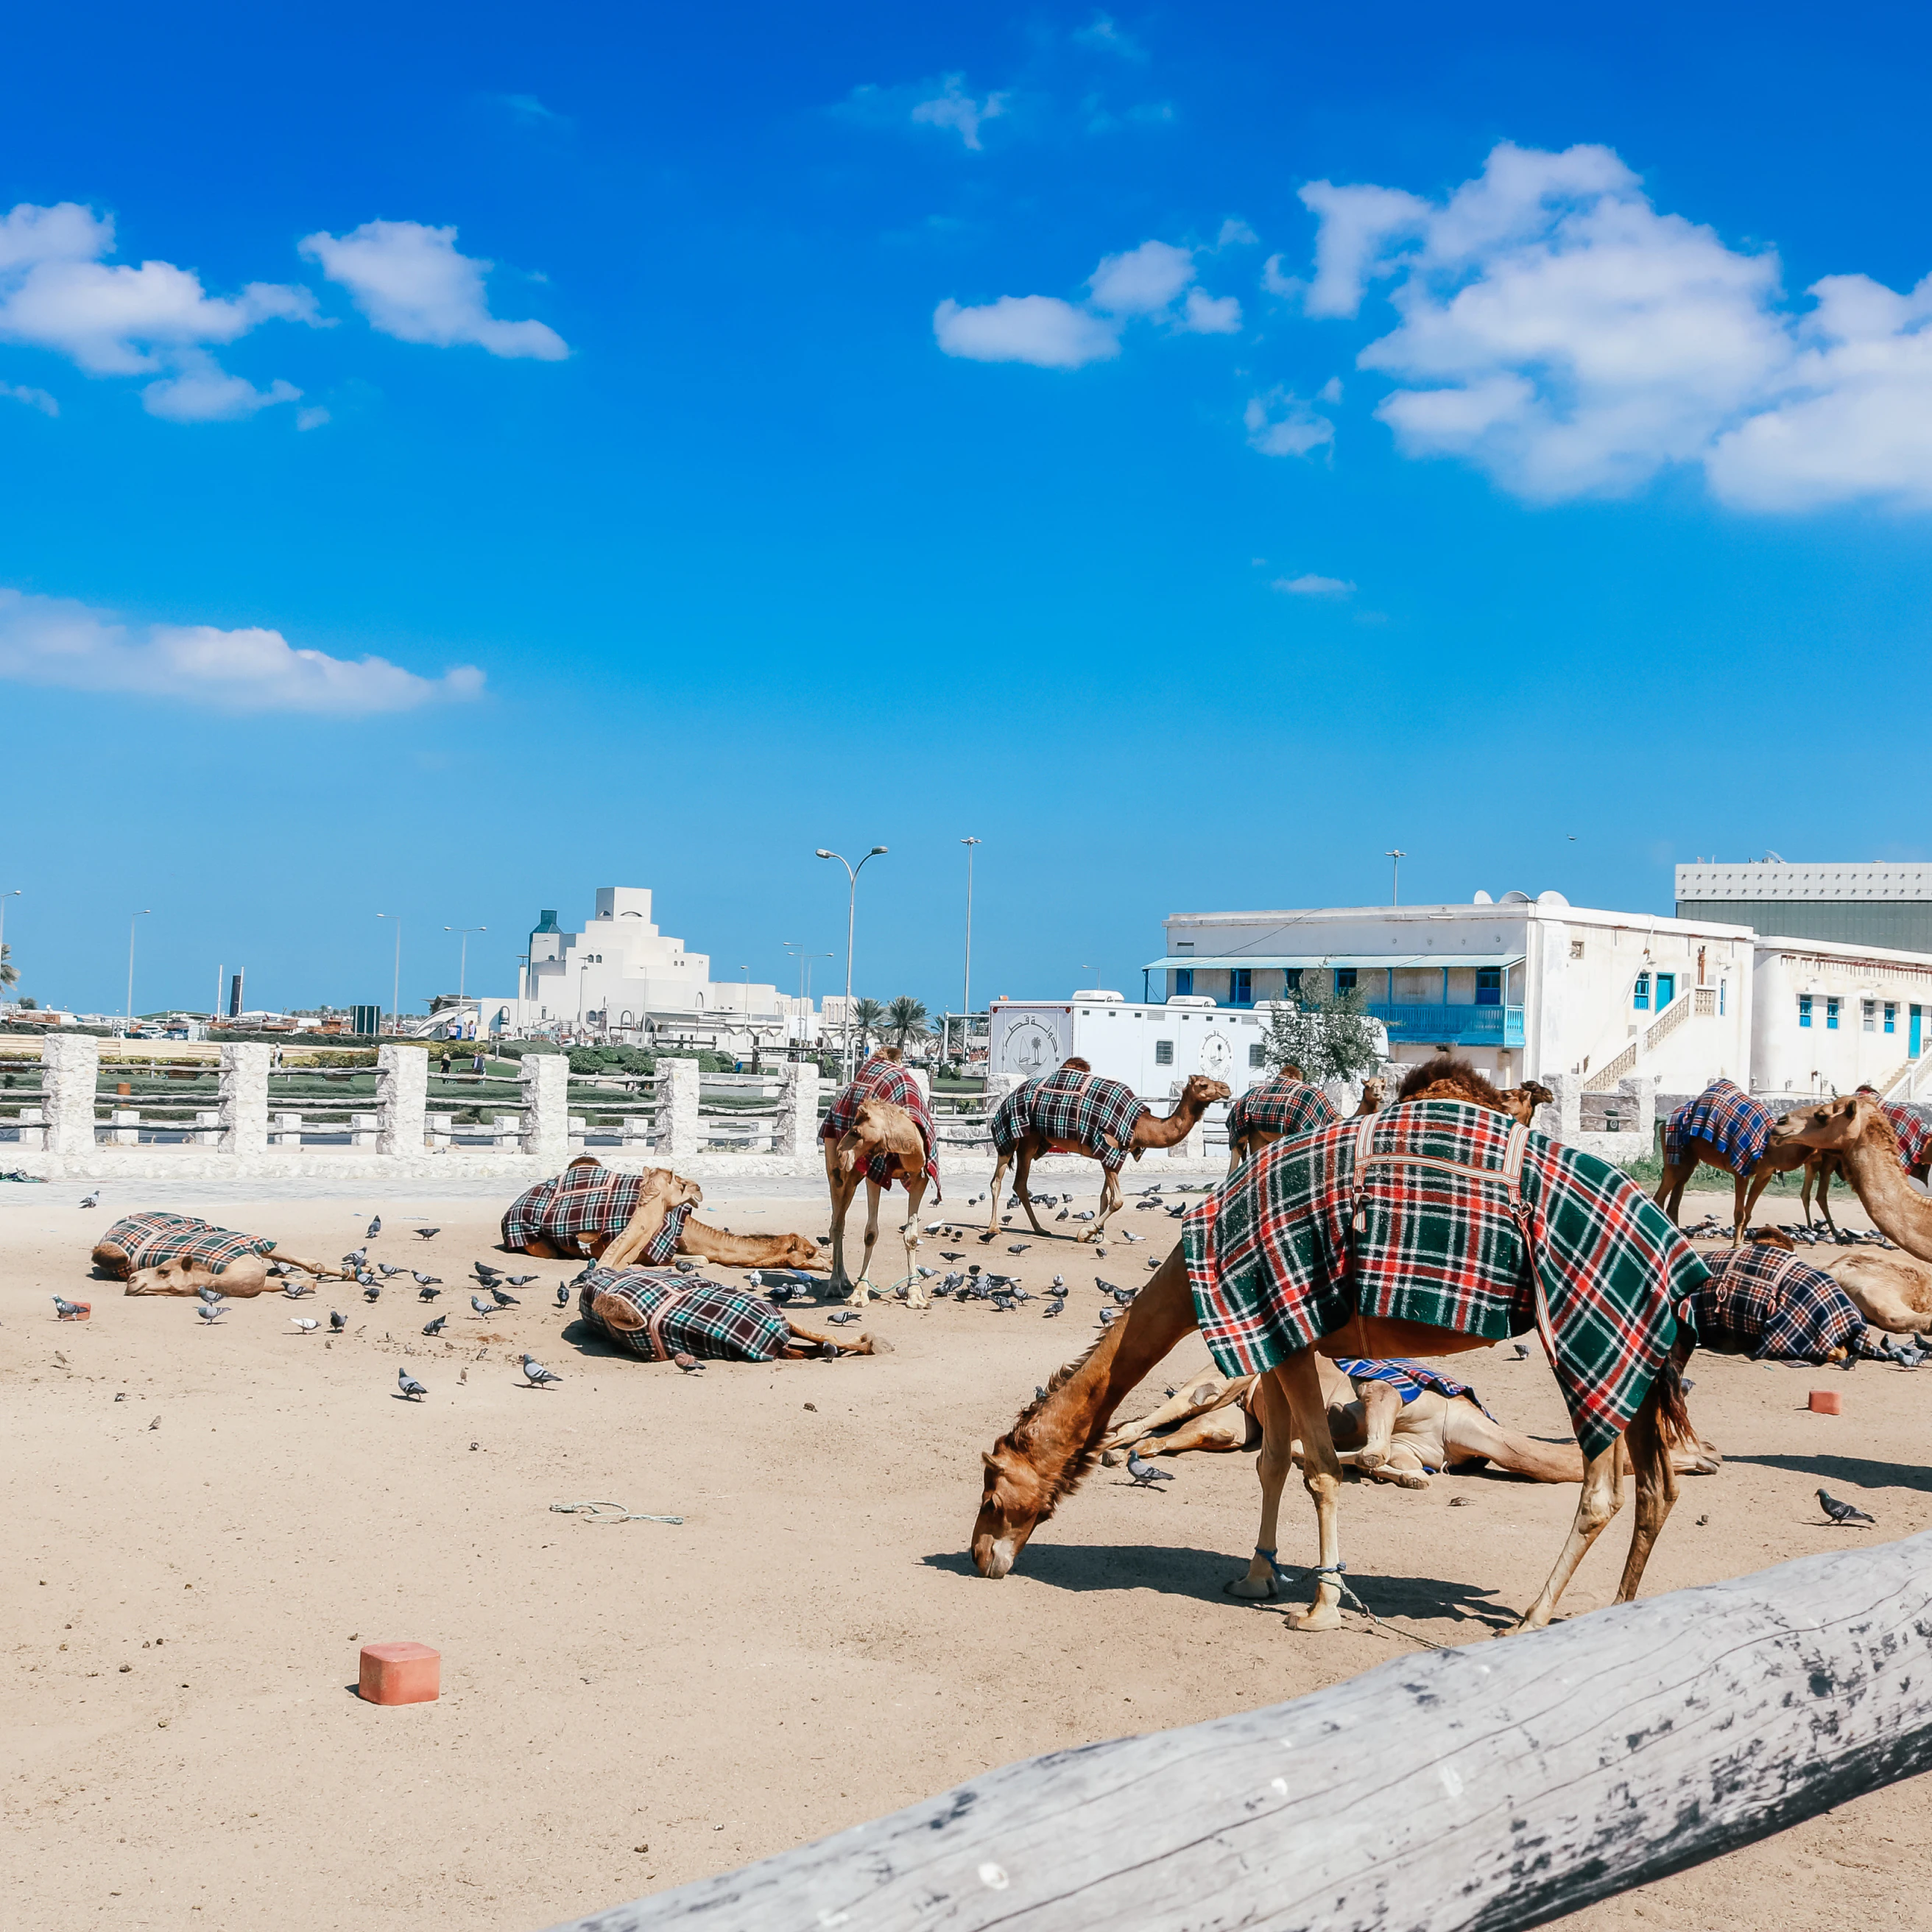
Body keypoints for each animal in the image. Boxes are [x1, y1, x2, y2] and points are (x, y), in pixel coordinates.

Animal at [820, 1048, 940, 1308]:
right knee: (837, 1222)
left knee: (838, 1221)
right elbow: (870, 1234)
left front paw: (916, 1296)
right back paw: (835, 1285)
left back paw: (845, 1280)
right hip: (837, 1168)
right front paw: (859, 1294)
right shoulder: (875, 1175)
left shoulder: (921, 1176)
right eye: (851, 1126)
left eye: (856, 1131)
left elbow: (912, 1236)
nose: (842, 1153)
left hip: (853, 1173)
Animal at [987, 1059, 1230, 1245]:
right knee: (996, 1181)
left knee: (1020, 1184)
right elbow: (1118, 1201)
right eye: (1203, 1084)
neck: (1138, 1125)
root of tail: (1009, 1097)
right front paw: (1086, 1232)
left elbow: (1105, 1197)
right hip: (1009, 1135)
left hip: (1031, 1141)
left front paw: (1100, 1237)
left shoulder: (1112, 1154)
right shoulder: (1108, 1148)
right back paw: (993, 1228)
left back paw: (1039, 1229)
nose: (1226, 1088)